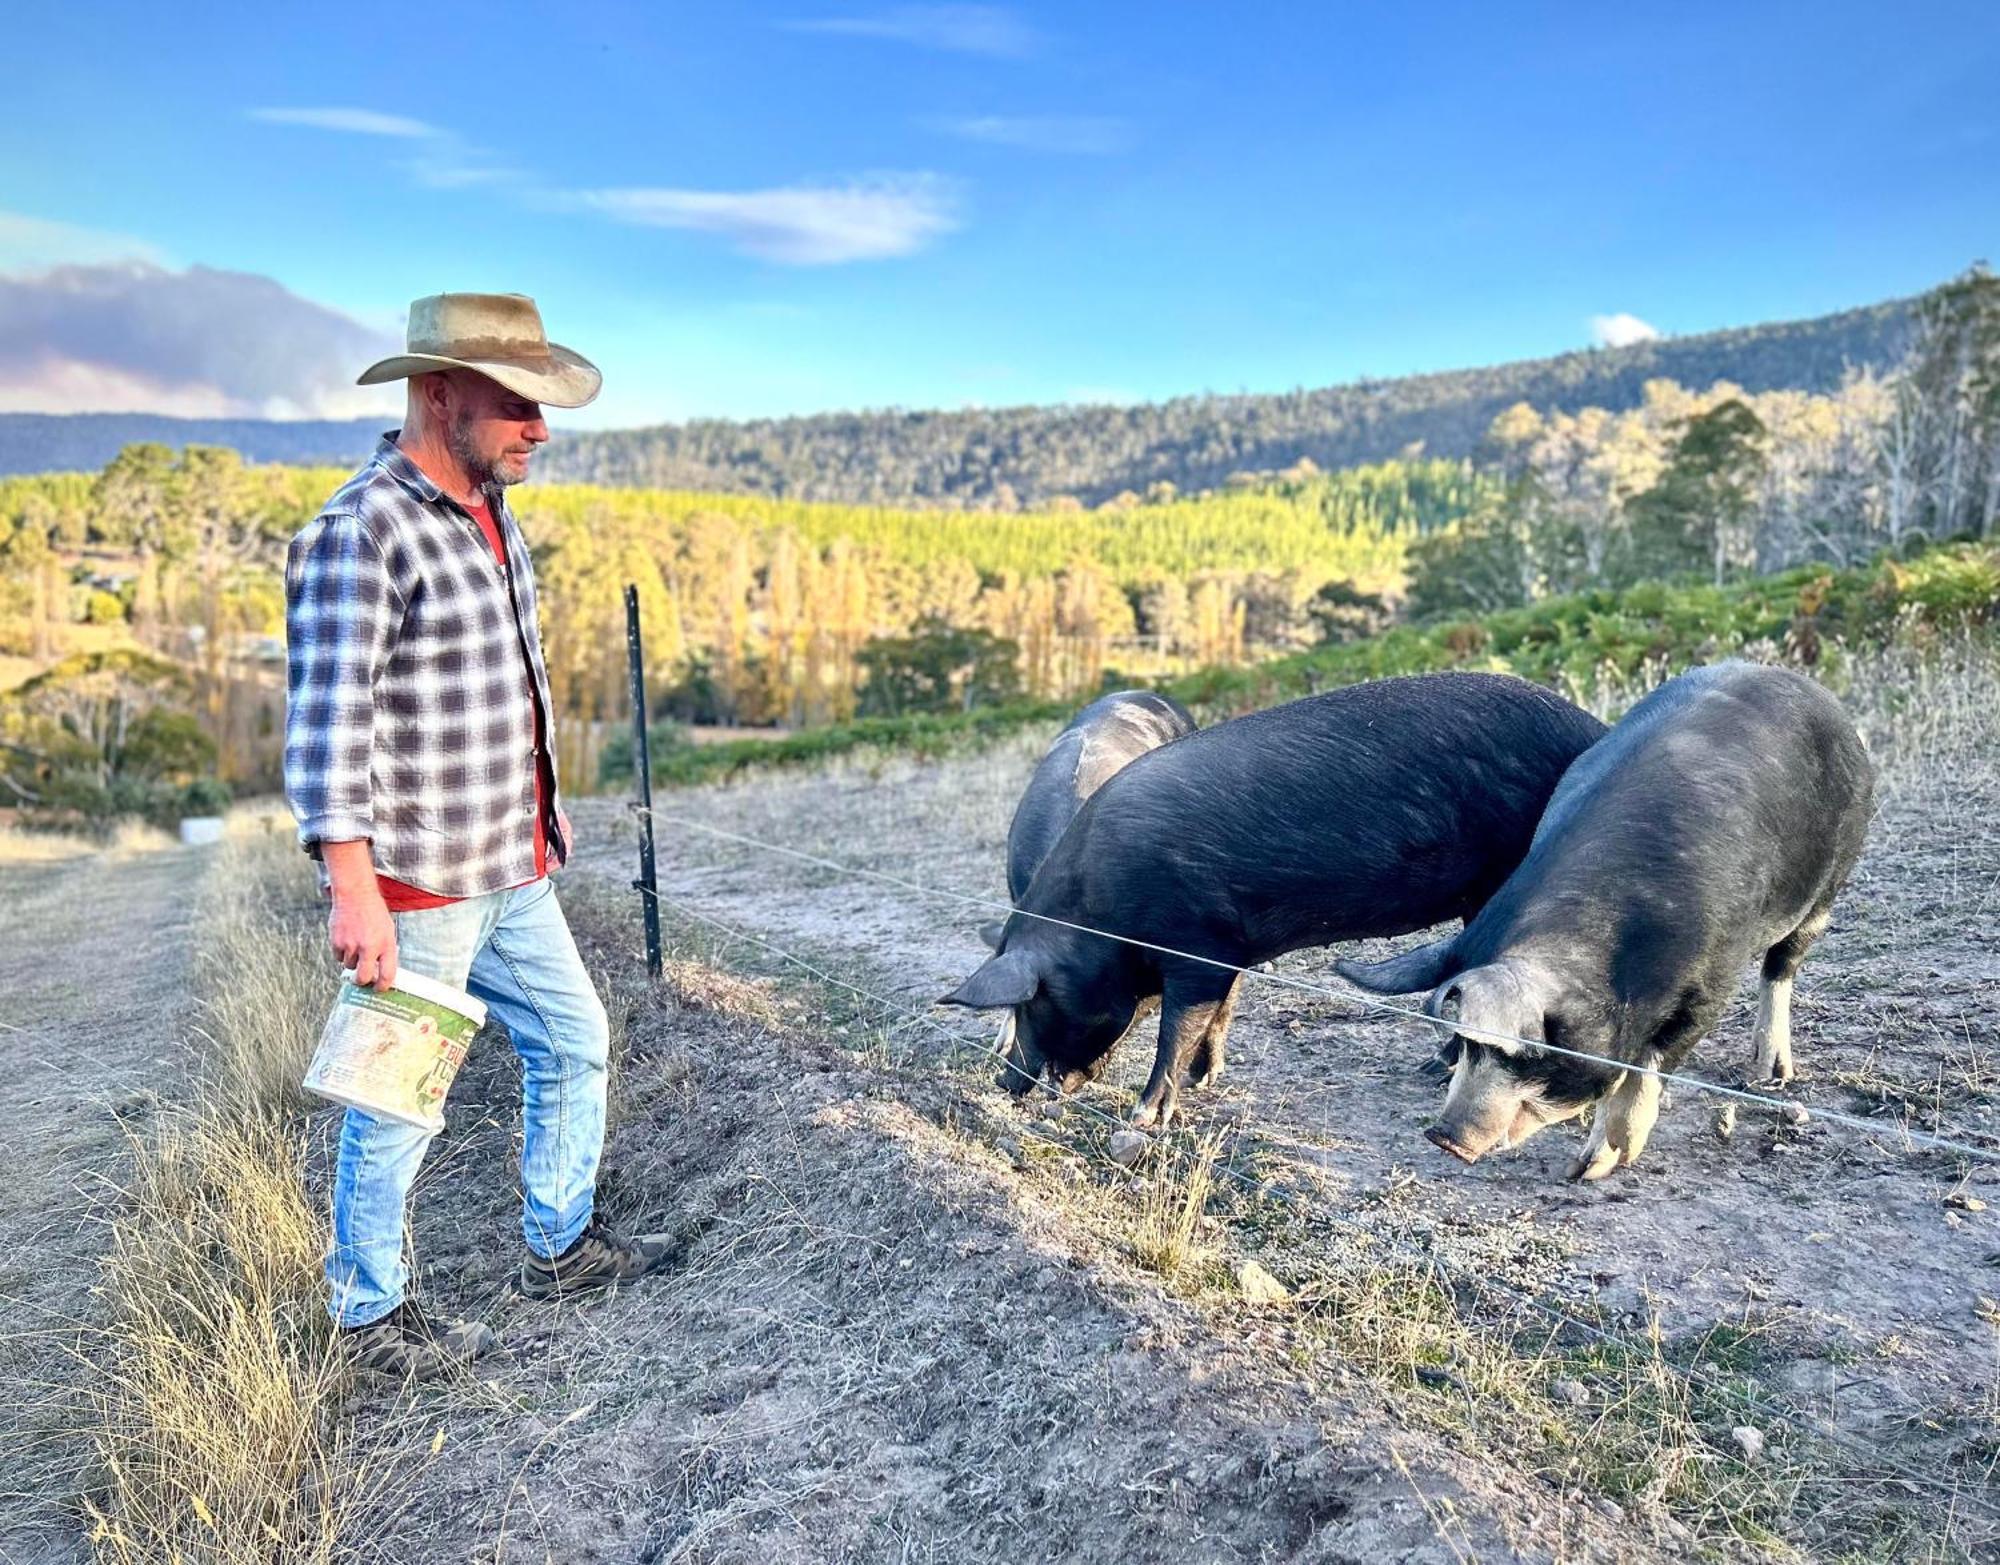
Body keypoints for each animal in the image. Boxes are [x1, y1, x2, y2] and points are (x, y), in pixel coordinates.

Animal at [940, 672, 1608, 1128]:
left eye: (1036, 1000)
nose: (1004, 1083)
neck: (1102, 917)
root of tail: (1592, 727)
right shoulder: (1232, 944)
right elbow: (1215, 1013)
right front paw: (1205, 1081)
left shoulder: (1199, 942)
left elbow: (1179, 1025)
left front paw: (1144, 1117)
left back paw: (1435, 1068)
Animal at [1344, 656, 1872, 1184]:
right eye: (1465, 1042)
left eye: (1525, 1055)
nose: (1443, 1137)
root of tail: (1796, 680)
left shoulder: (1712, 983)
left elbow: (1645, 1069)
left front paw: (1590, 1168)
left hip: (1832, 879)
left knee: (1783, 962)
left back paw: (1769, 1073)